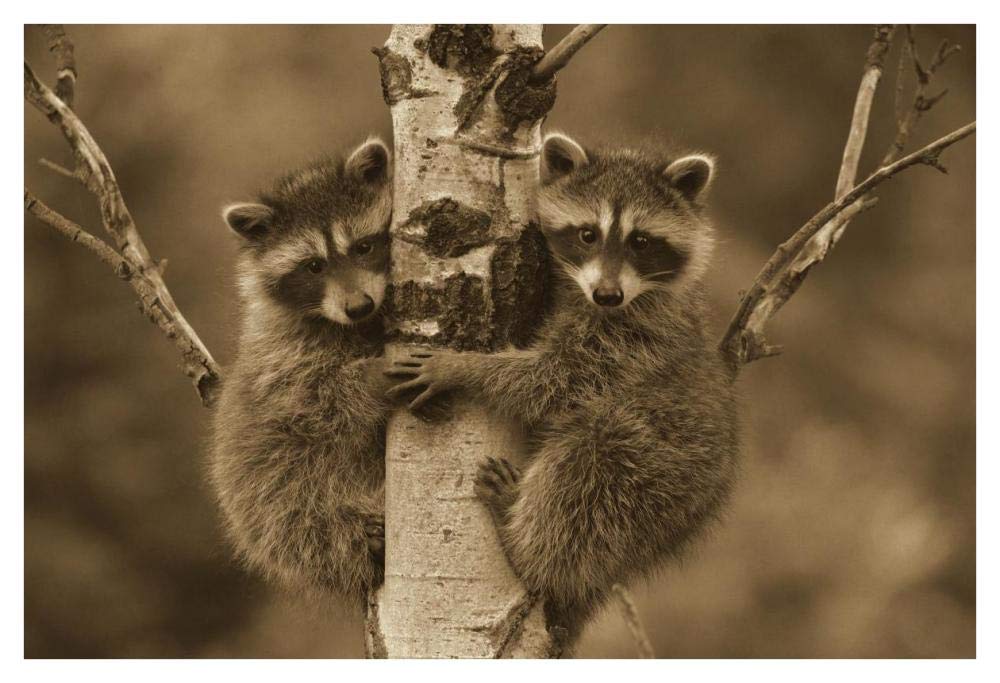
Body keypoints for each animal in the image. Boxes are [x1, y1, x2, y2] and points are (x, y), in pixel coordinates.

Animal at [210, 138, 395, 607]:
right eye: (313, 266)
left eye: (363, 247)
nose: (359, 306)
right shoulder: (282, 357)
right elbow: (315, 404)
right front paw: (370, 378)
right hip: (276, 506)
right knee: (307, 522)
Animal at [386, 133, 739, 643]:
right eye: (588, 234)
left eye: (641, 241)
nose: (608, 295)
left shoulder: (633, 340)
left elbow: (554, 380)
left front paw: (465, 367)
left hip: (660, 470)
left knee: (589, 465)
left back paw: (523, 543)